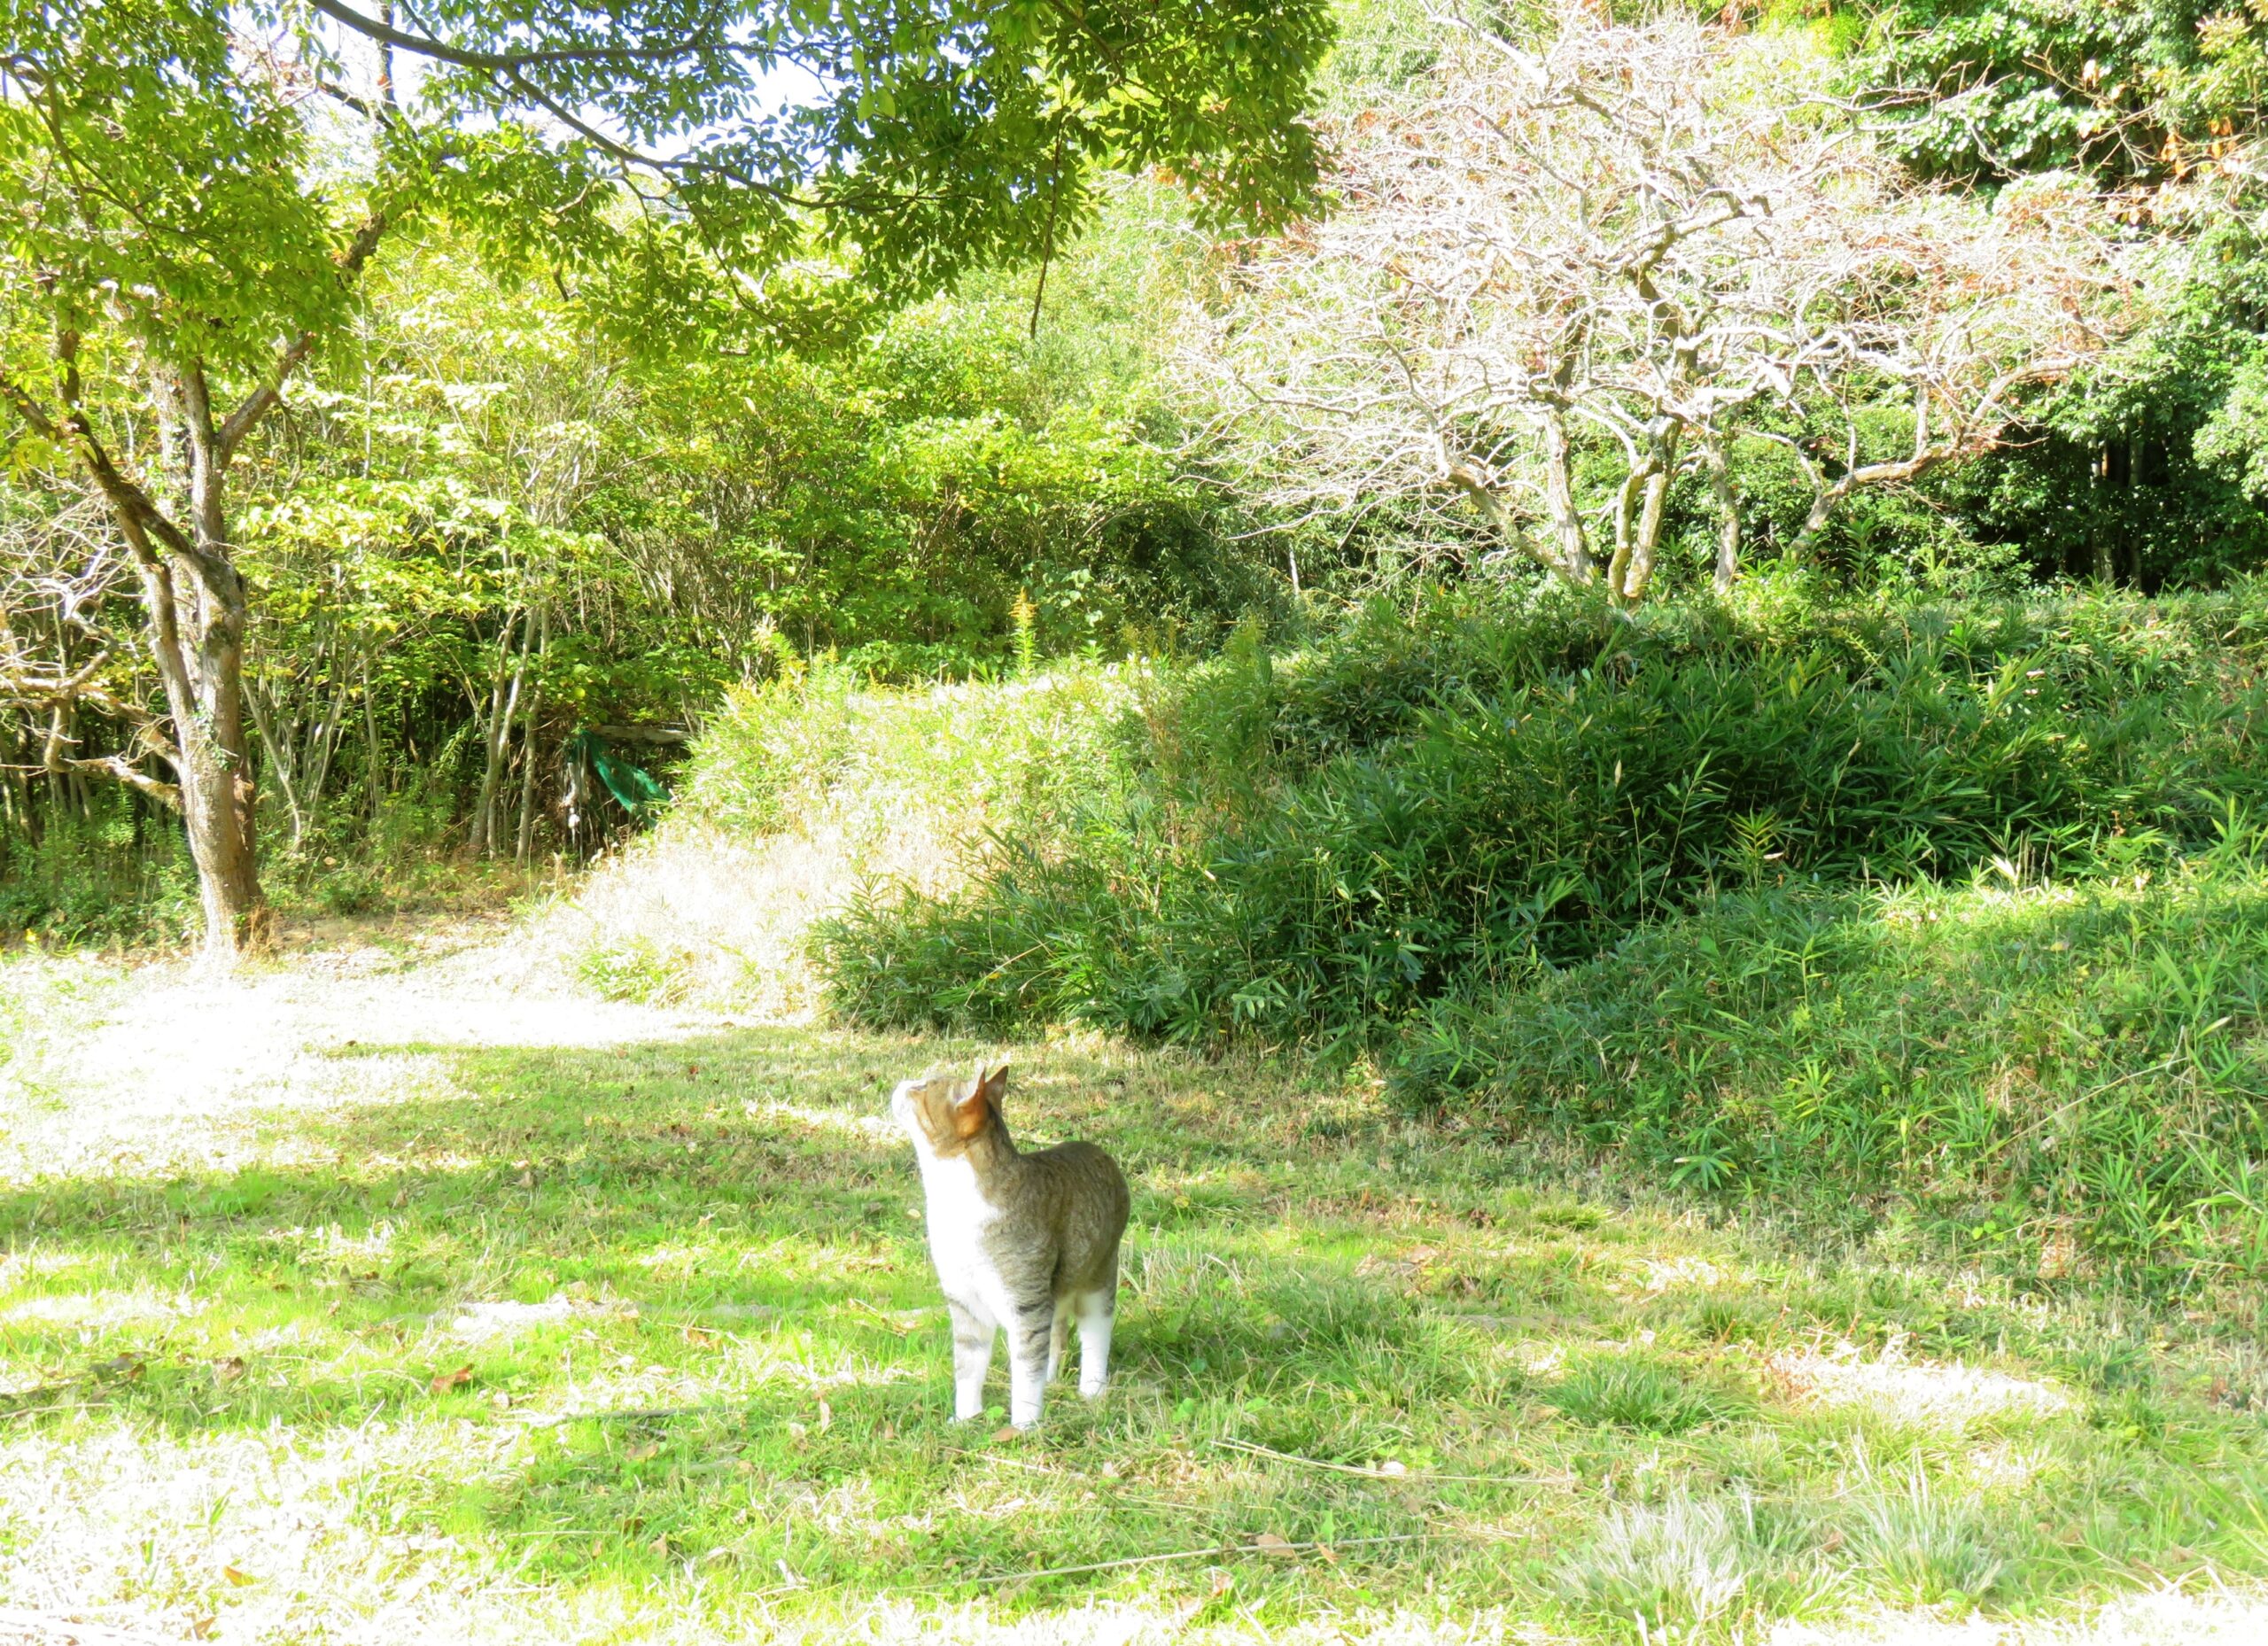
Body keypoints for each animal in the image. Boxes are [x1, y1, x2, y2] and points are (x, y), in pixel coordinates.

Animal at [889, 1069, 1129, 1432]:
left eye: (921, 1088)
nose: (901, 1083)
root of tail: (1098, 1150)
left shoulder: (1026, 1304)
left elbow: (1026, 1369)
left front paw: (1024, 1426)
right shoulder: (965, 1302)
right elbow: (968, 1365)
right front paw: (965, 1418)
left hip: (1097, 1275)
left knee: (1094, 1333)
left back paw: (1092, 1389)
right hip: (1053, 1290)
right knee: (1056, 1334)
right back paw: (1052, 1377)